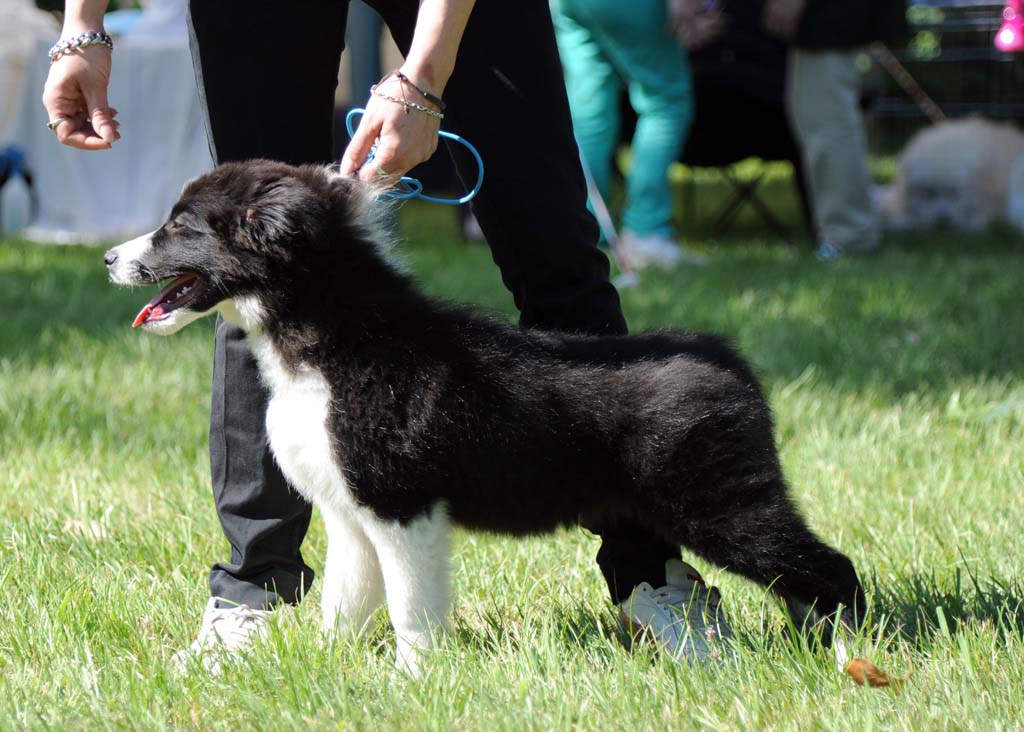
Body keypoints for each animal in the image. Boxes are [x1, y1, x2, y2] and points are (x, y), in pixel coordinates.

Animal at [105, 160, 864, 671]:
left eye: (180, 226)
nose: (111, 257)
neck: (327, 333)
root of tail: (731, 362)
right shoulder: (349, 512)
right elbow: (344, 601)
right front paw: (324, 670)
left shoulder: (400, 505)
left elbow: (410, 606)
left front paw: (412, 681)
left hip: (720, 502)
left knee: (829, 566)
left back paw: (848, 653)